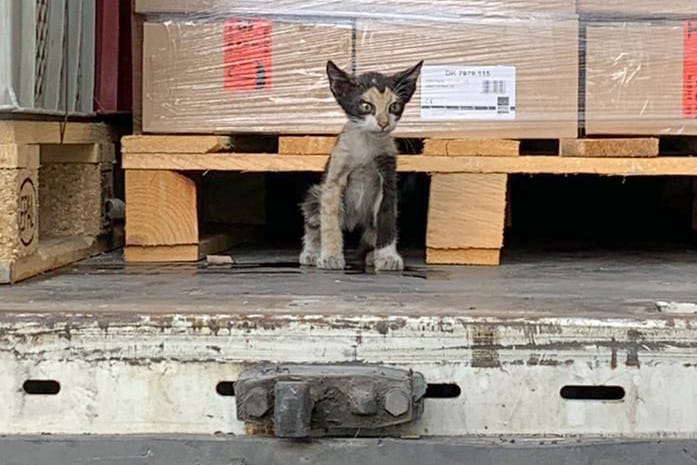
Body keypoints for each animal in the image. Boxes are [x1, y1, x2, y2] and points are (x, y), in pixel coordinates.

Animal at [298, 59, 422, 270]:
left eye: (394, 106)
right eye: (366, 106)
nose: (383, 123)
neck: (367, 144)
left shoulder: (388, 179)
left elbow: (387, 220)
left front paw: (387, 256)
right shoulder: (334, 179)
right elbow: (329, 221)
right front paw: (331, 256)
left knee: (371, 232)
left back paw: (372, 255)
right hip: (315, 193)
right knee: (314, 221)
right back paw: (312, 252)